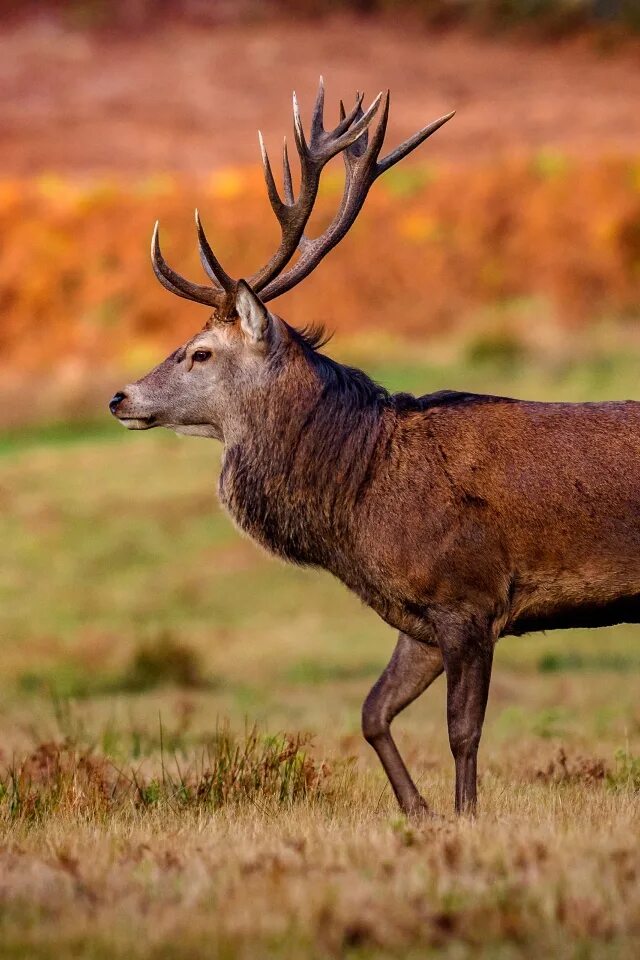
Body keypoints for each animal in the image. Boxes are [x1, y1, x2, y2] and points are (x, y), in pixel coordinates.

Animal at [109, 82, 640, 816]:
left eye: (200, 351)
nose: (119, 397)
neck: (361, 497)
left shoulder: (469, 596)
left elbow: (463, 731)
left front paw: (465, 815)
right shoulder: (417, 619)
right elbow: (371, 713)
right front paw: (417, 811)